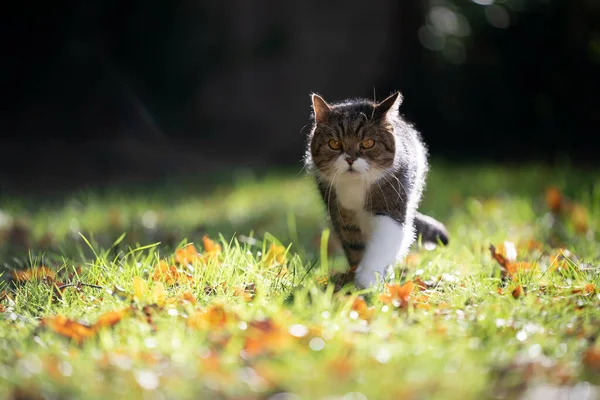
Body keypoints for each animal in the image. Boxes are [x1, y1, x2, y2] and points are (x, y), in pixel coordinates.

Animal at [304, 92, 450, 290]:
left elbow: (382, 244)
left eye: (368, 143)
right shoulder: (342, 216)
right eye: (334, 143)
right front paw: (355, 281)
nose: (350, 159)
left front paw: (368, 280)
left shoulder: (391, 205)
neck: (356, 186)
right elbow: (355, 247)